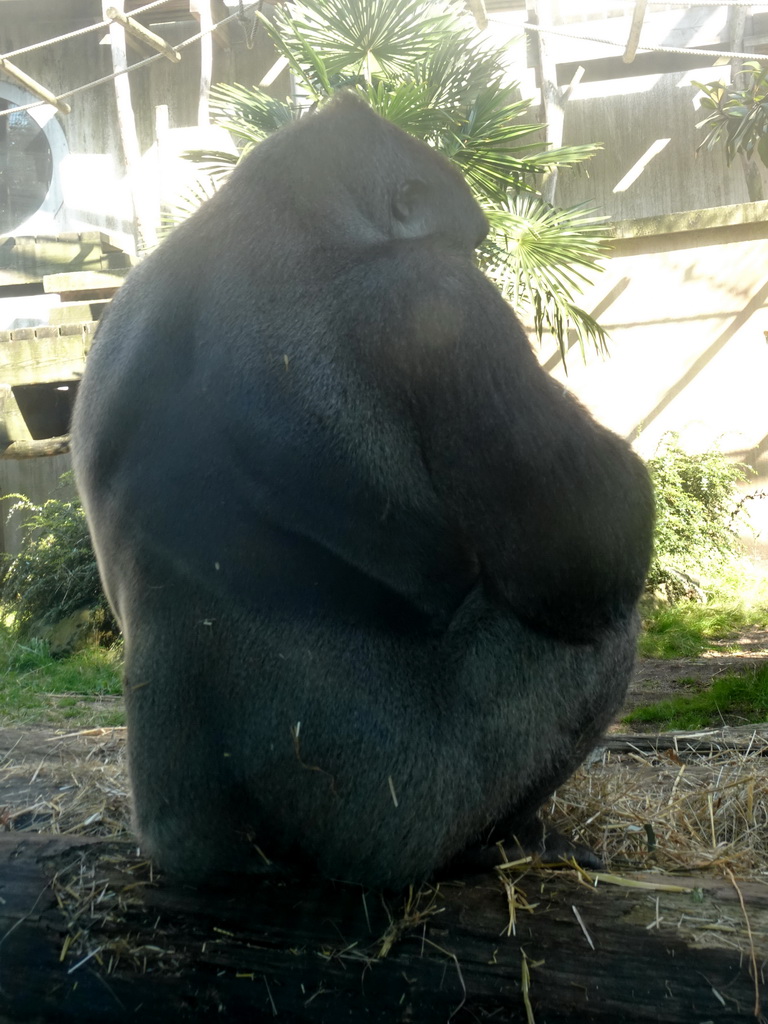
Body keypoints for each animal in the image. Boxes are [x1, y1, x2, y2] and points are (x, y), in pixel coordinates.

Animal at [70, 92, 655, 888]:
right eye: (466, 249)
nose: (482, 257)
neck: (268, 210)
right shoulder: (435, 296)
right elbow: (585, 555)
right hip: (397, 825)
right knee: (593, 629)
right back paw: (508, 839)